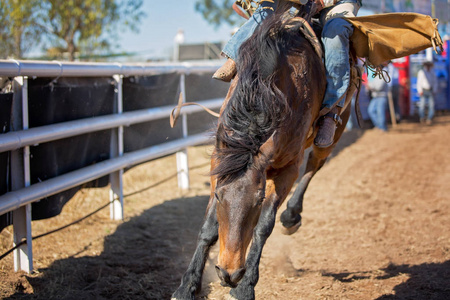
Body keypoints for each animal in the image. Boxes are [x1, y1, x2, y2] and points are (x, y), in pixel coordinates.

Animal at [172, 8, 358, 298]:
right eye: (218, 195)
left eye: (258, 201)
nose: (229, 273)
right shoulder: (219, 163)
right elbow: (209, 228)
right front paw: (187, 285)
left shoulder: (287, 169)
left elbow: (263, 227)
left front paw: (245, 286)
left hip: (330, 137)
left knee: (313, 166)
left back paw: (291, 215)